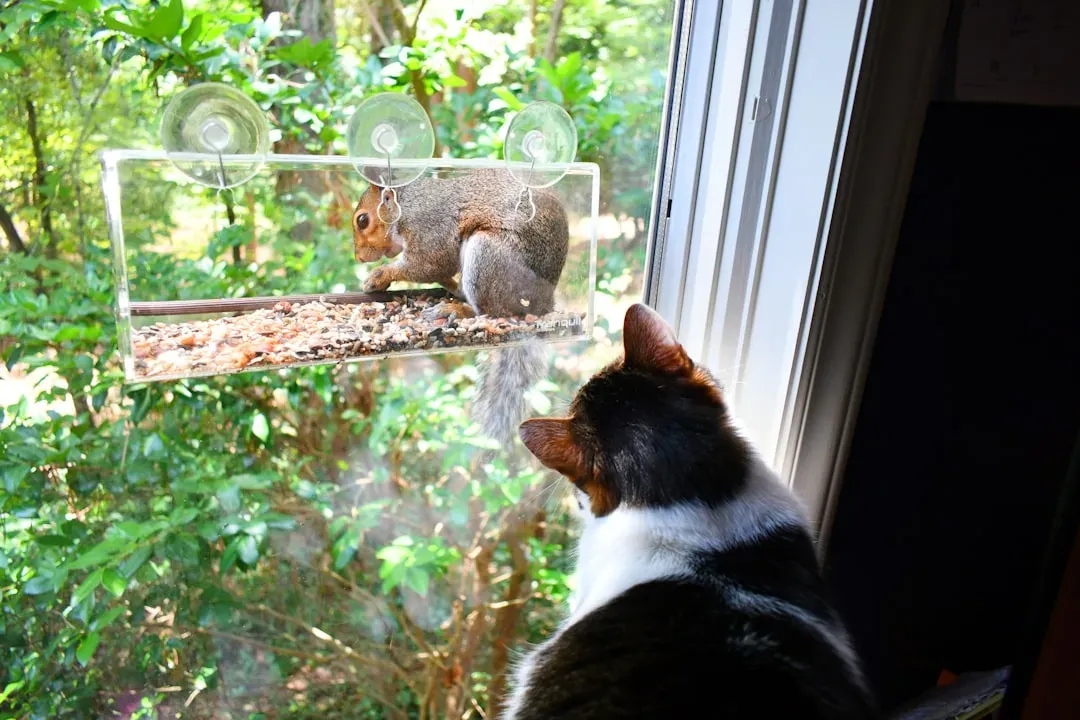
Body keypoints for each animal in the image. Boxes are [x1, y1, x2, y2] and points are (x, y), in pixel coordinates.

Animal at [352, 168, 570, 443]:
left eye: (362, 220)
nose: (359, 257)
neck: (406, 205)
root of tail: (543, 304)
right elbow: (441, 271)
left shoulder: (430, 228)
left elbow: (429, 264)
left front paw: (380, 275)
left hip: (489, 256)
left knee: (492, 313)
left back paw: (456, 310)